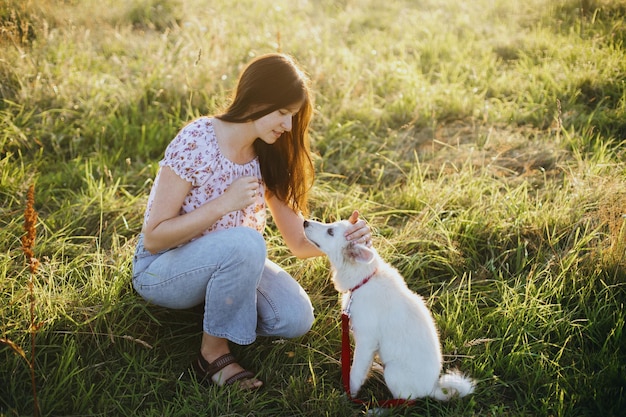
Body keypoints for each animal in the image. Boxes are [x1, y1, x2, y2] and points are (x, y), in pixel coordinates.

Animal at [302, 218, 472, 400]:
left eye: (331, 232)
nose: (304, 222)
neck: (365, 279)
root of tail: (432, 389)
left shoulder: (366, 341)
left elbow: (355, 372)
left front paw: (349, 396)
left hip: (393, 373)